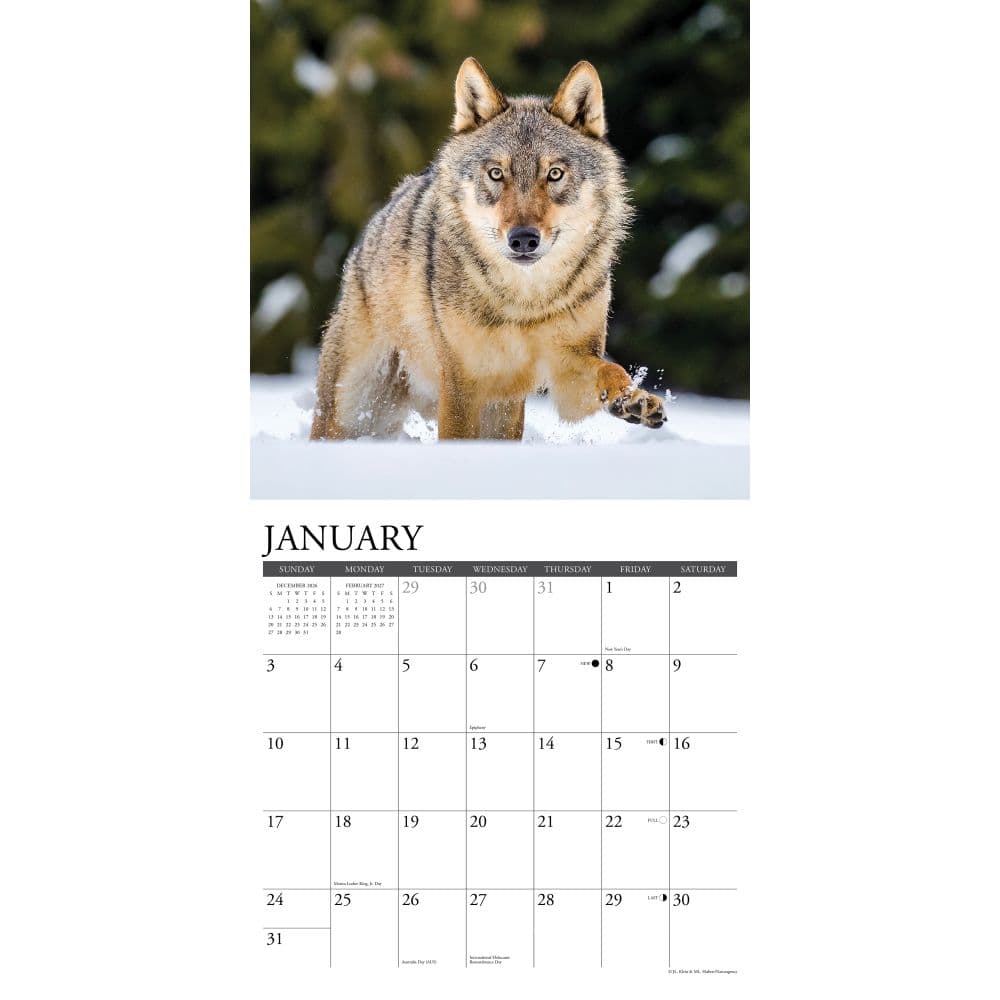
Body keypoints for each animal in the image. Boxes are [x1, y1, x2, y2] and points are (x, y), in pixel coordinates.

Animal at [310, 57, 666, 441]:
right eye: (496, 173)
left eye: (554, 174)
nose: (523, 239)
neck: (525, 304)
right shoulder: (461, 384)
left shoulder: (569, 371)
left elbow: (612, 370)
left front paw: (633, 399)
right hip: (351, 411)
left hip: (502, 409)